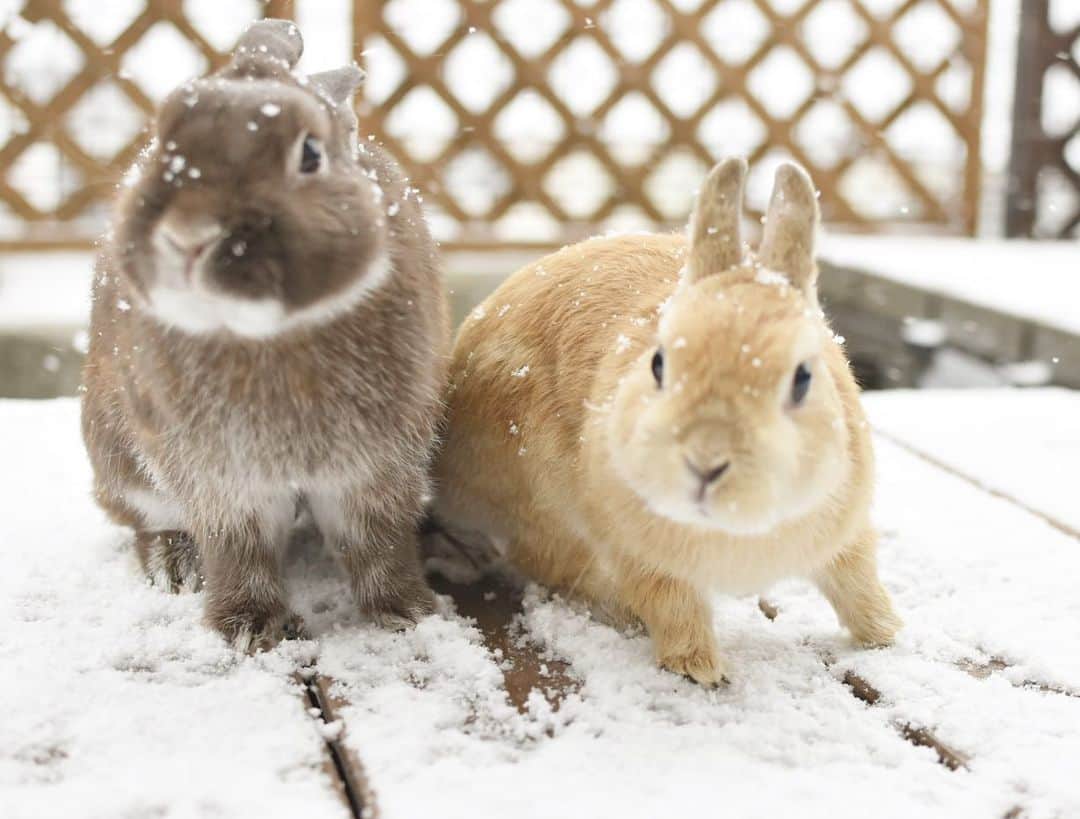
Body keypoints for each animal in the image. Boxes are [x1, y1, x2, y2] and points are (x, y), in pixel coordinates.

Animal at [81, 20, 449, 651]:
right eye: (164, 135)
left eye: (310, 154)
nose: (188, 236)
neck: (268, 333)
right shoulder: (222, 480)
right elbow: (239, 551)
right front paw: (248, 630)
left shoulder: (376, 468)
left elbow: (378, 543)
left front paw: (409, 615)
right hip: (120, 460)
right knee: (147, 522)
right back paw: (173, 565)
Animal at [431, 158, 902, 685]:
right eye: (658, 364)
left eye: (802, 378)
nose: (706, 461)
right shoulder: (639, 553)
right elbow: (672, 603)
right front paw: (699, 668)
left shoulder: (847, 532)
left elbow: (856, 581)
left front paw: (886, 632)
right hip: (541, 498)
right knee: (546, 563)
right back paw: (621, 609)